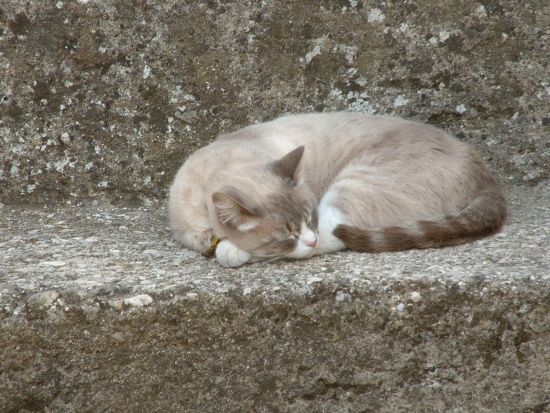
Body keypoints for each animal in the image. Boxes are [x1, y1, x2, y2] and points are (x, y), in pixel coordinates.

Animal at [168, 112, 508, 268]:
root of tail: (479, 165)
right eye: (288, 232)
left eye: (310, 218)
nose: (309, 237)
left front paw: (231, 250)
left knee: (339, 235)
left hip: (353, 183)